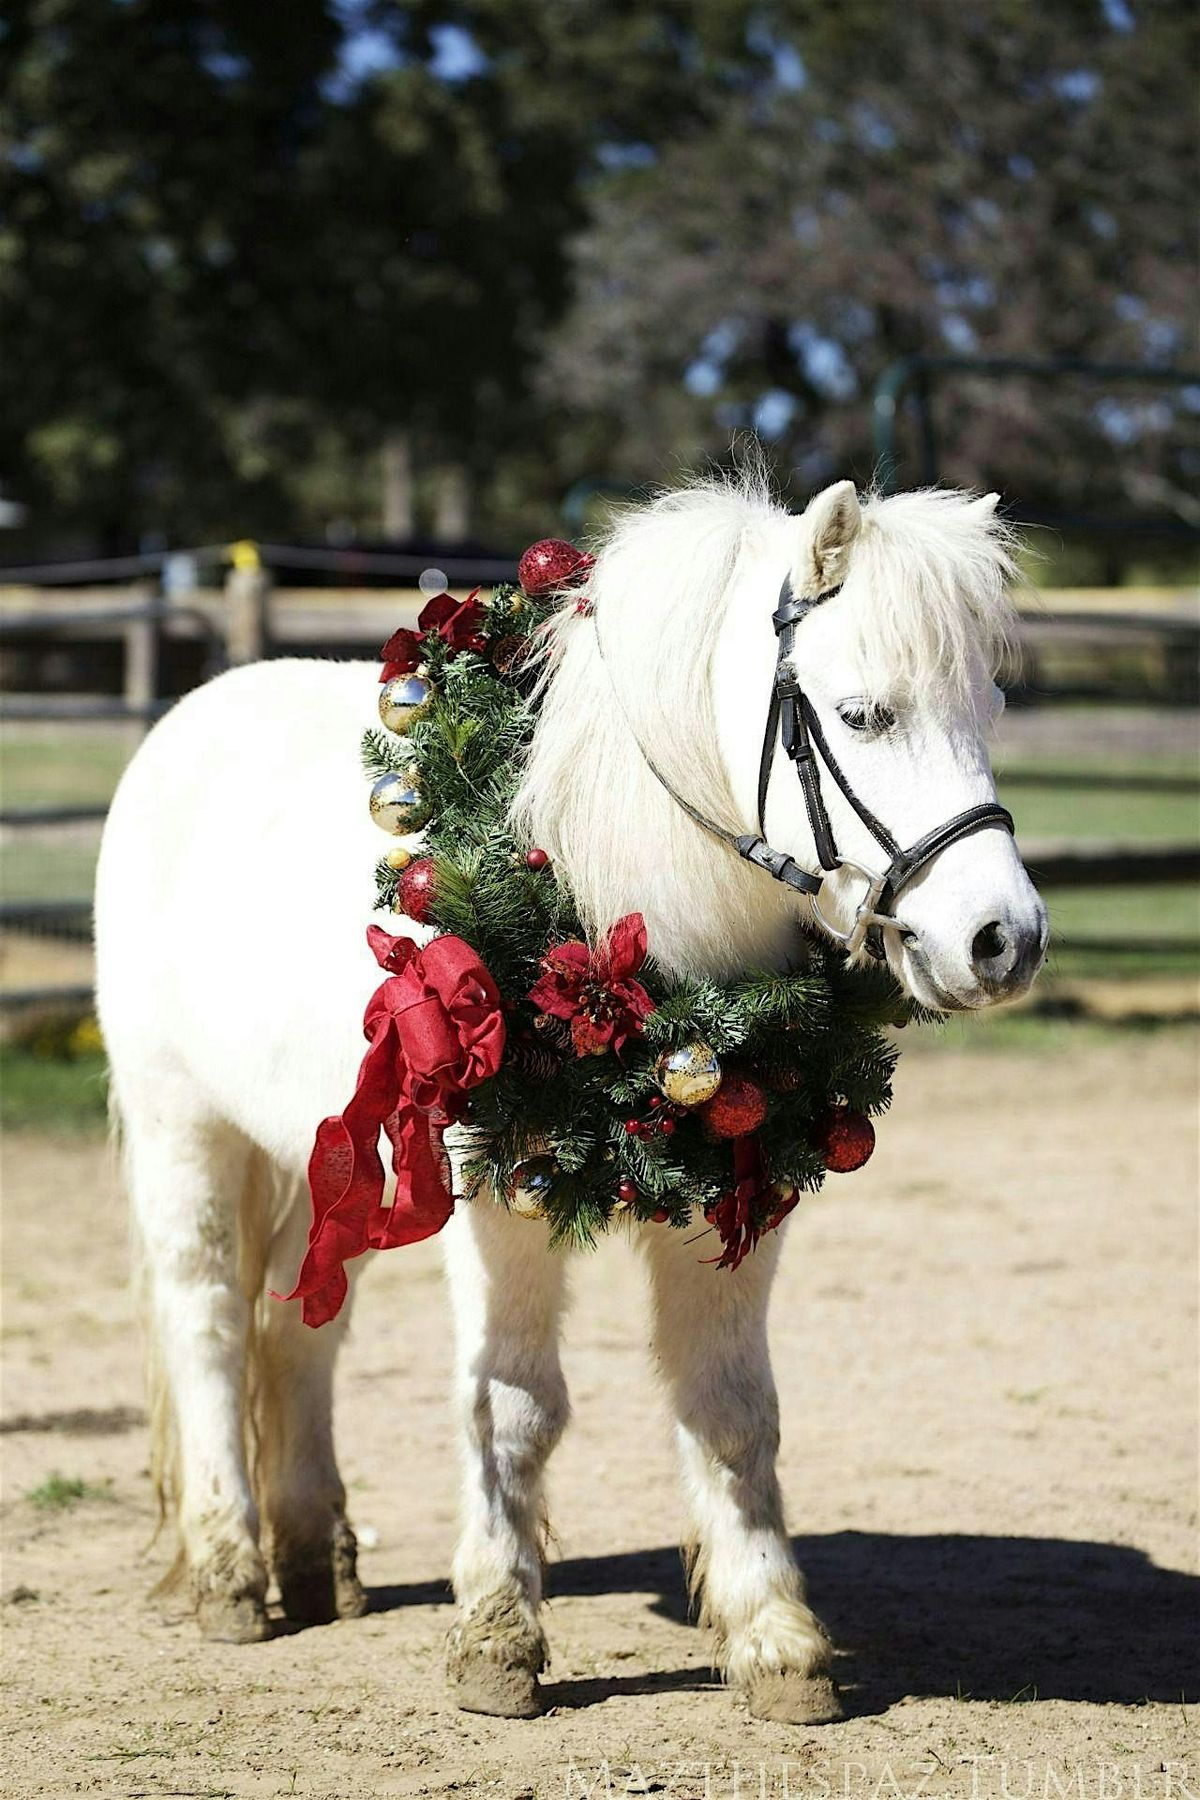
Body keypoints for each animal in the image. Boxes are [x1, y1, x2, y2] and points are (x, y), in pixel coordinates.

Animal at [94, 469, 1047, 1726]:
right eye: (861, 715)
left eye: (988, 703)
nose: (1004, 939)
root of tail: (188, 723)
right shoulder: (501, 1202)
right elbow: (513, 1408)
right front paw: (499, 1640)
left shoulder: (737, 1200)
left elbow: (735, 1411)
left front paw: (777, 1642)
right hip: (184, 1129)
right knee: (207, 1320)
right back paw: (231, 1577)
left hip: (328, 1158)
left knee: (302, 1330)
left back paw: (317, 1563)